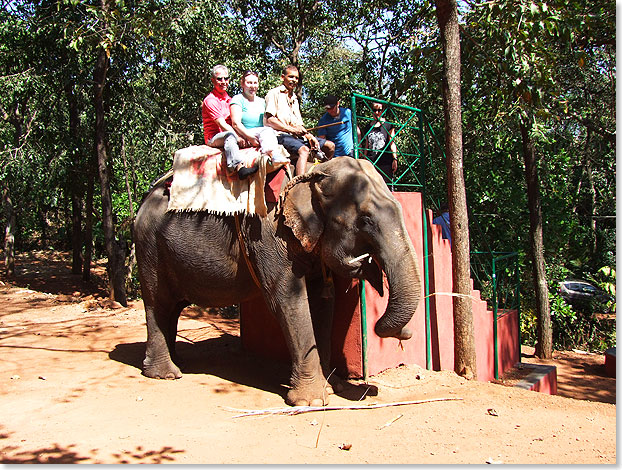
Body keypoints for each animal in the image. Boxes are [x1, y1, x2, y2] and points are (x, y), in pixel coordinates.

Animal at [133, 156, 422, 406]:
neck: (311, 174)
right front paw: (312, 401)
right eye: (365, 220)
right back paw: (166, 374)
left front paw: (331, 387)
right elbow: (288, 301)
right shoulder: (267, 233)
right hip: (149, 248)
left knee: (172, 307)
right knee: (158, 303)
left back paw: (178, 361)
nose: (405, 334)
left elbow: (322, 302)